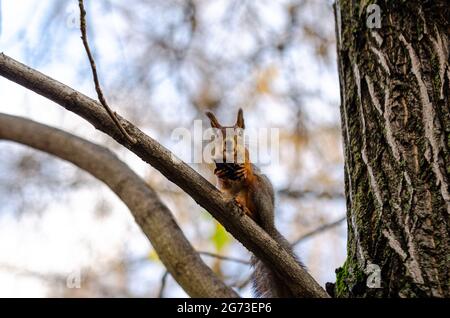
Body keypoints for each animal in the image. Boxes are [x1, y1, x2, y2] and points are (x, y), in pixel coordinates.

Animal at [206, 108, 304, 296]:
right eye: (218, 136)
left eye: (239, 134)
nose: (229, 145)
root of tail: (270, 227)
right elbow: (222, 183)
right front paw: (221, 174)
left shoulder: (247, 157)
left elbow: (248, 173)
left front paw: (246, 170)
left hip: (261, 194)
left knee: (258, 212)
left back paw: (249, 213)